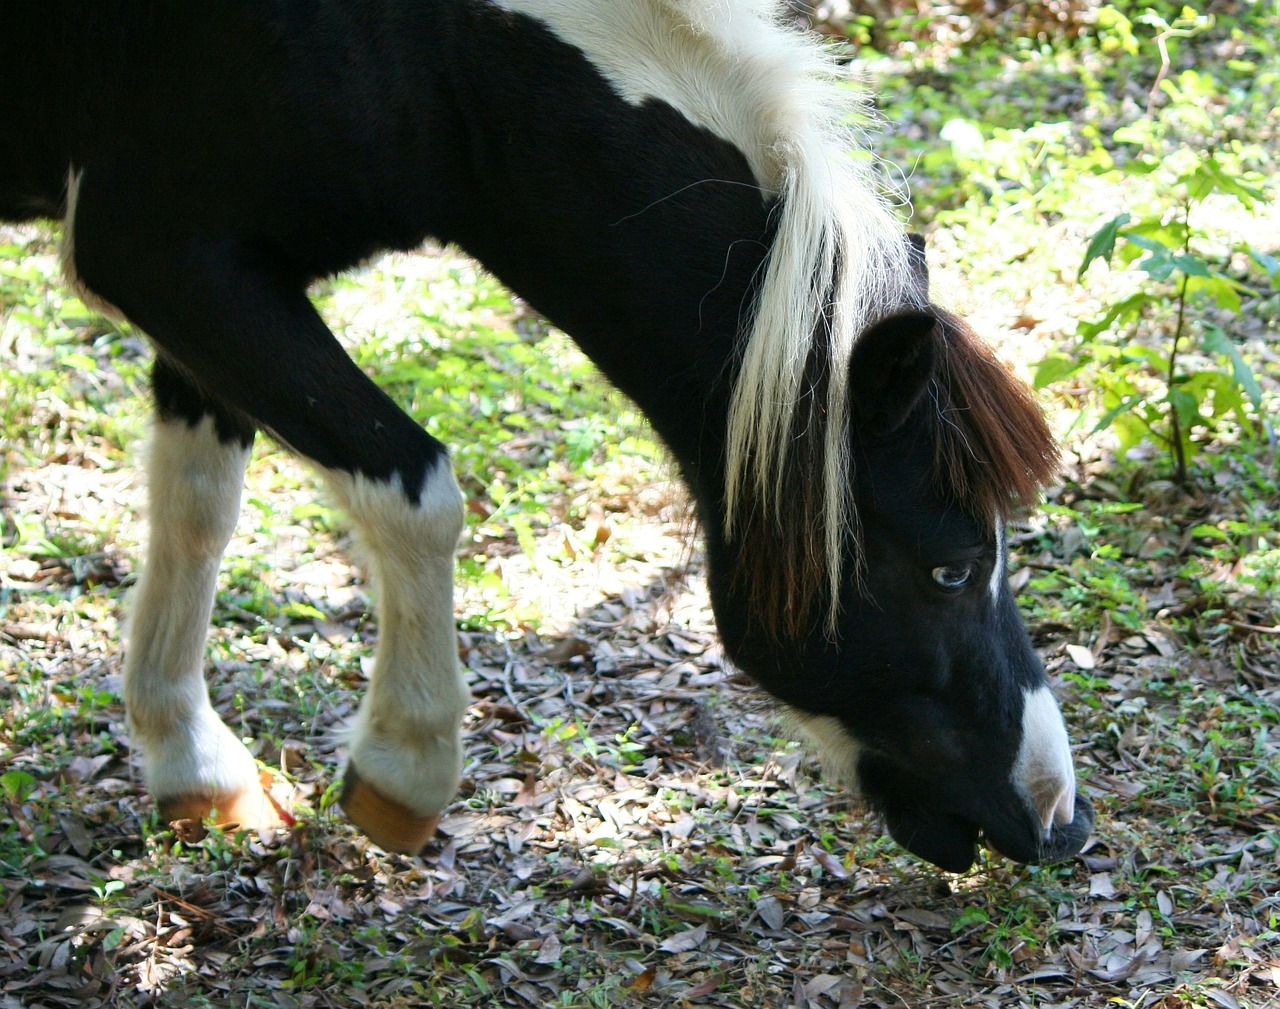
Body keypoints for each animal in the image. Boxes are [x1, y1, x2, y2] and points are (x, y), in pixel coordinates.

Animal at [2, 0, 1090, 875]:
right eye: (950, 567)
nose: (1061, 823)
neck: (431, 52)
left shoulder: (213, 290)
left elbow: (197, 510)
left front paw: (190, 763)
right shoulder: (167, 259)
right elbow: (418, 489)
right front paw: (407, 764)